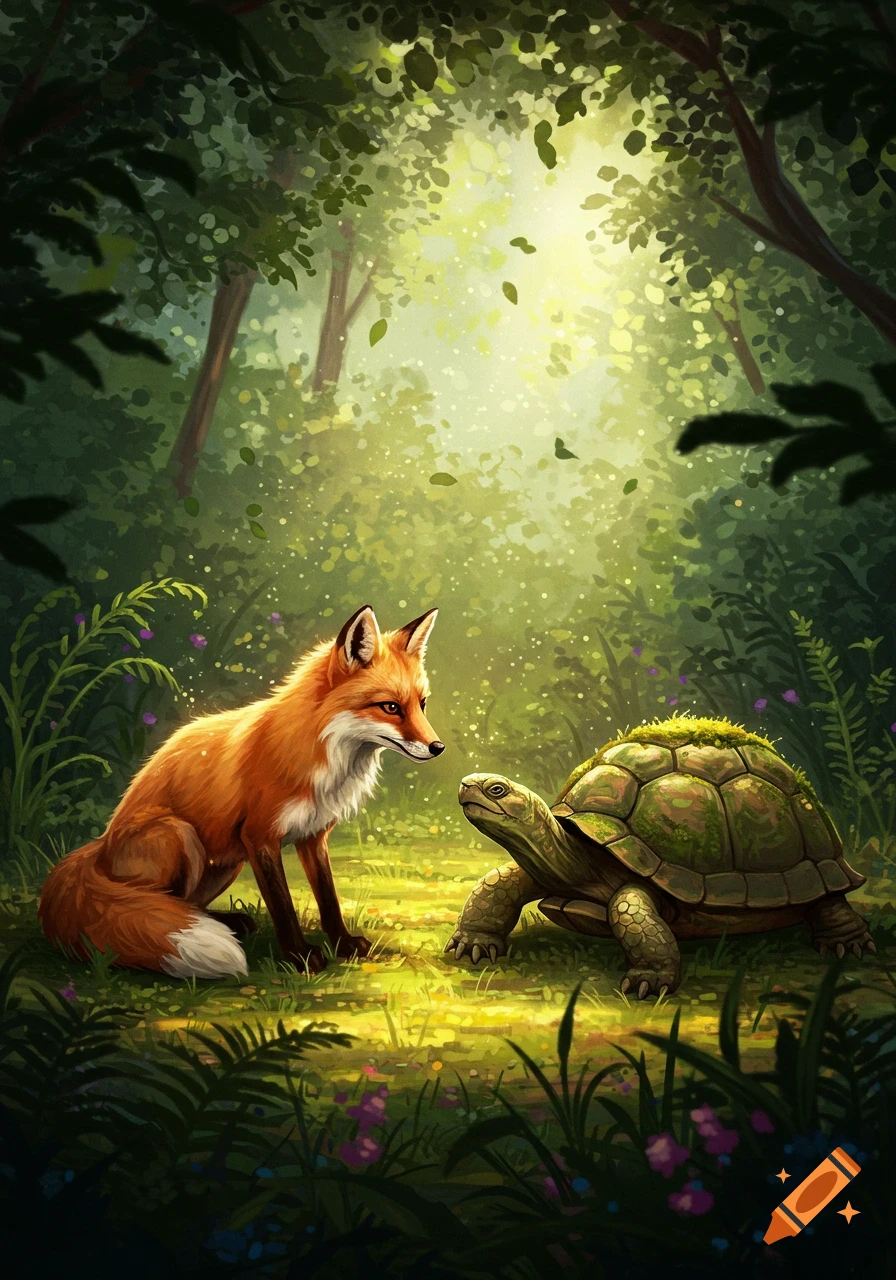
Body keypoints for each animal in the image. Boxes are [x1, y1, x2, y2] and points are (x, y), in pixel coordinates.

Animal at [39, 605, 443, 979]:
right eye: (390, 707)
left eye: (421, 705)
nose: (437, 747)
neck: (319, 751)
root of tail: (100, 845)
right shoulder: (259, 836)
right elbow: (282, 904)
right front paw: (299, 957)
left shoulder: (312, 835)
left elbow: (328, 898)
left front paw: (342, 944)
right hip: (181, 835)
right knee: (159, 906)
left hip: (227, 864)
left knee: (188, 905)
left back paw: (229, 923)